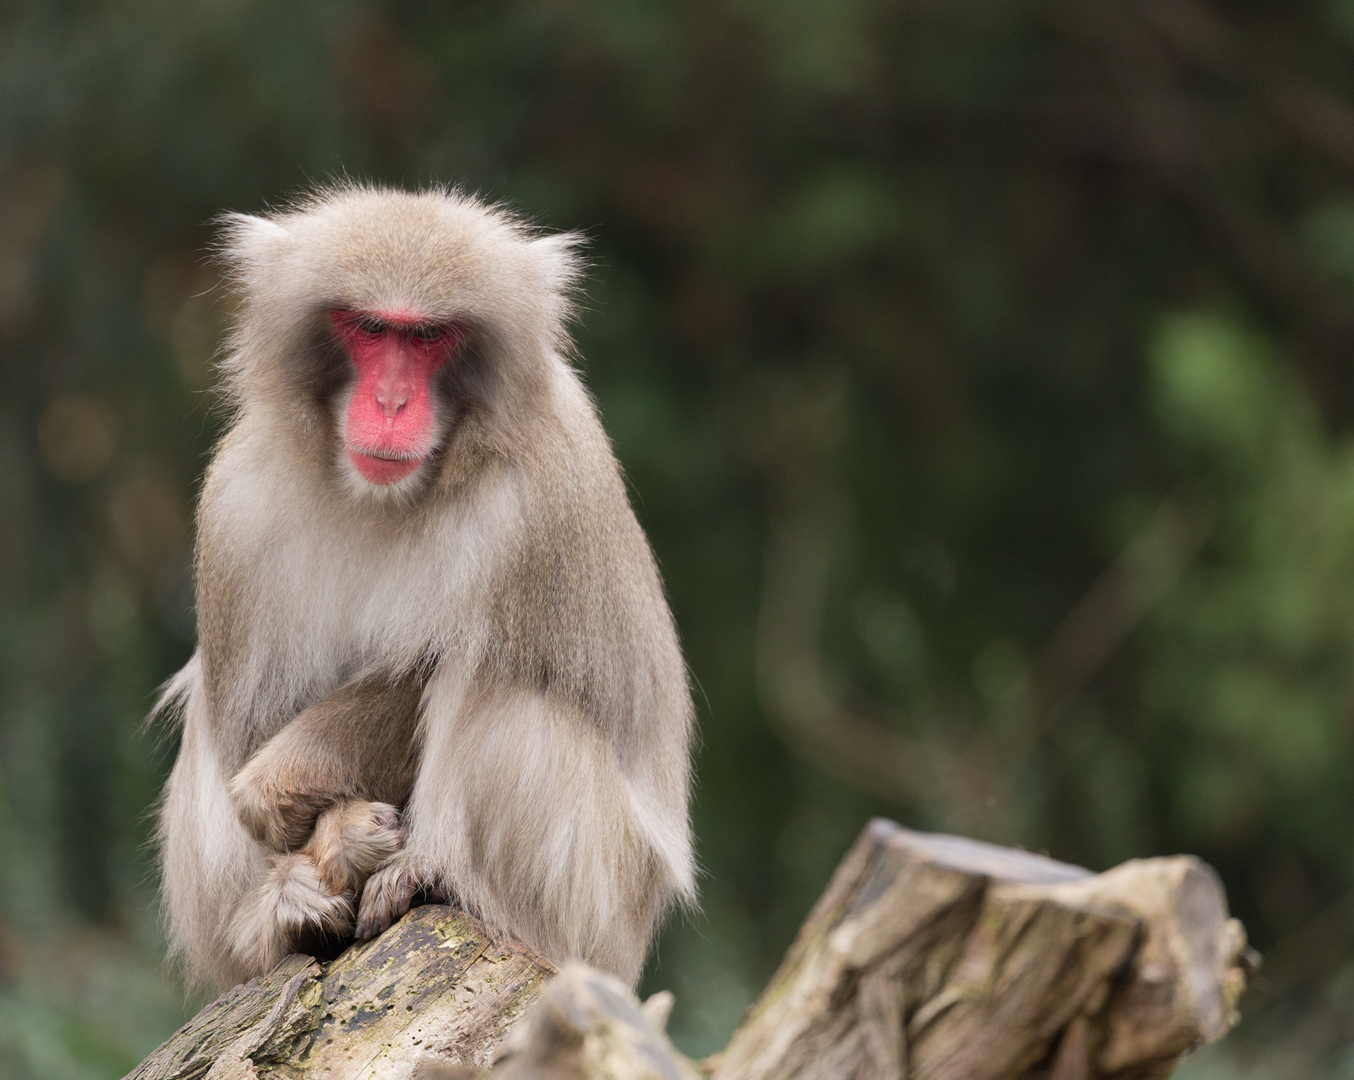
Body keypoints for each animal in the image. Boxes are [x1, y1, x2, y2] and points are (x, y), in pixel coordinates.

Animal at [153, 184, 693, 990]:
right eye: (371, 328)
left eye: (431, 335)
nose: (391, 403)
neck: (389, 498)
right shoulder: (235, 506)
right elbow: (245, 718)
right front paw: (318, 851)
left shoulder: (533, 509)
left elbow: (436, 668)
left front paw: (287, 795)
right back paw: (280, 916)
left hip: (595, 917)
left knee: (503, 687)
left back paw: (434, 873)